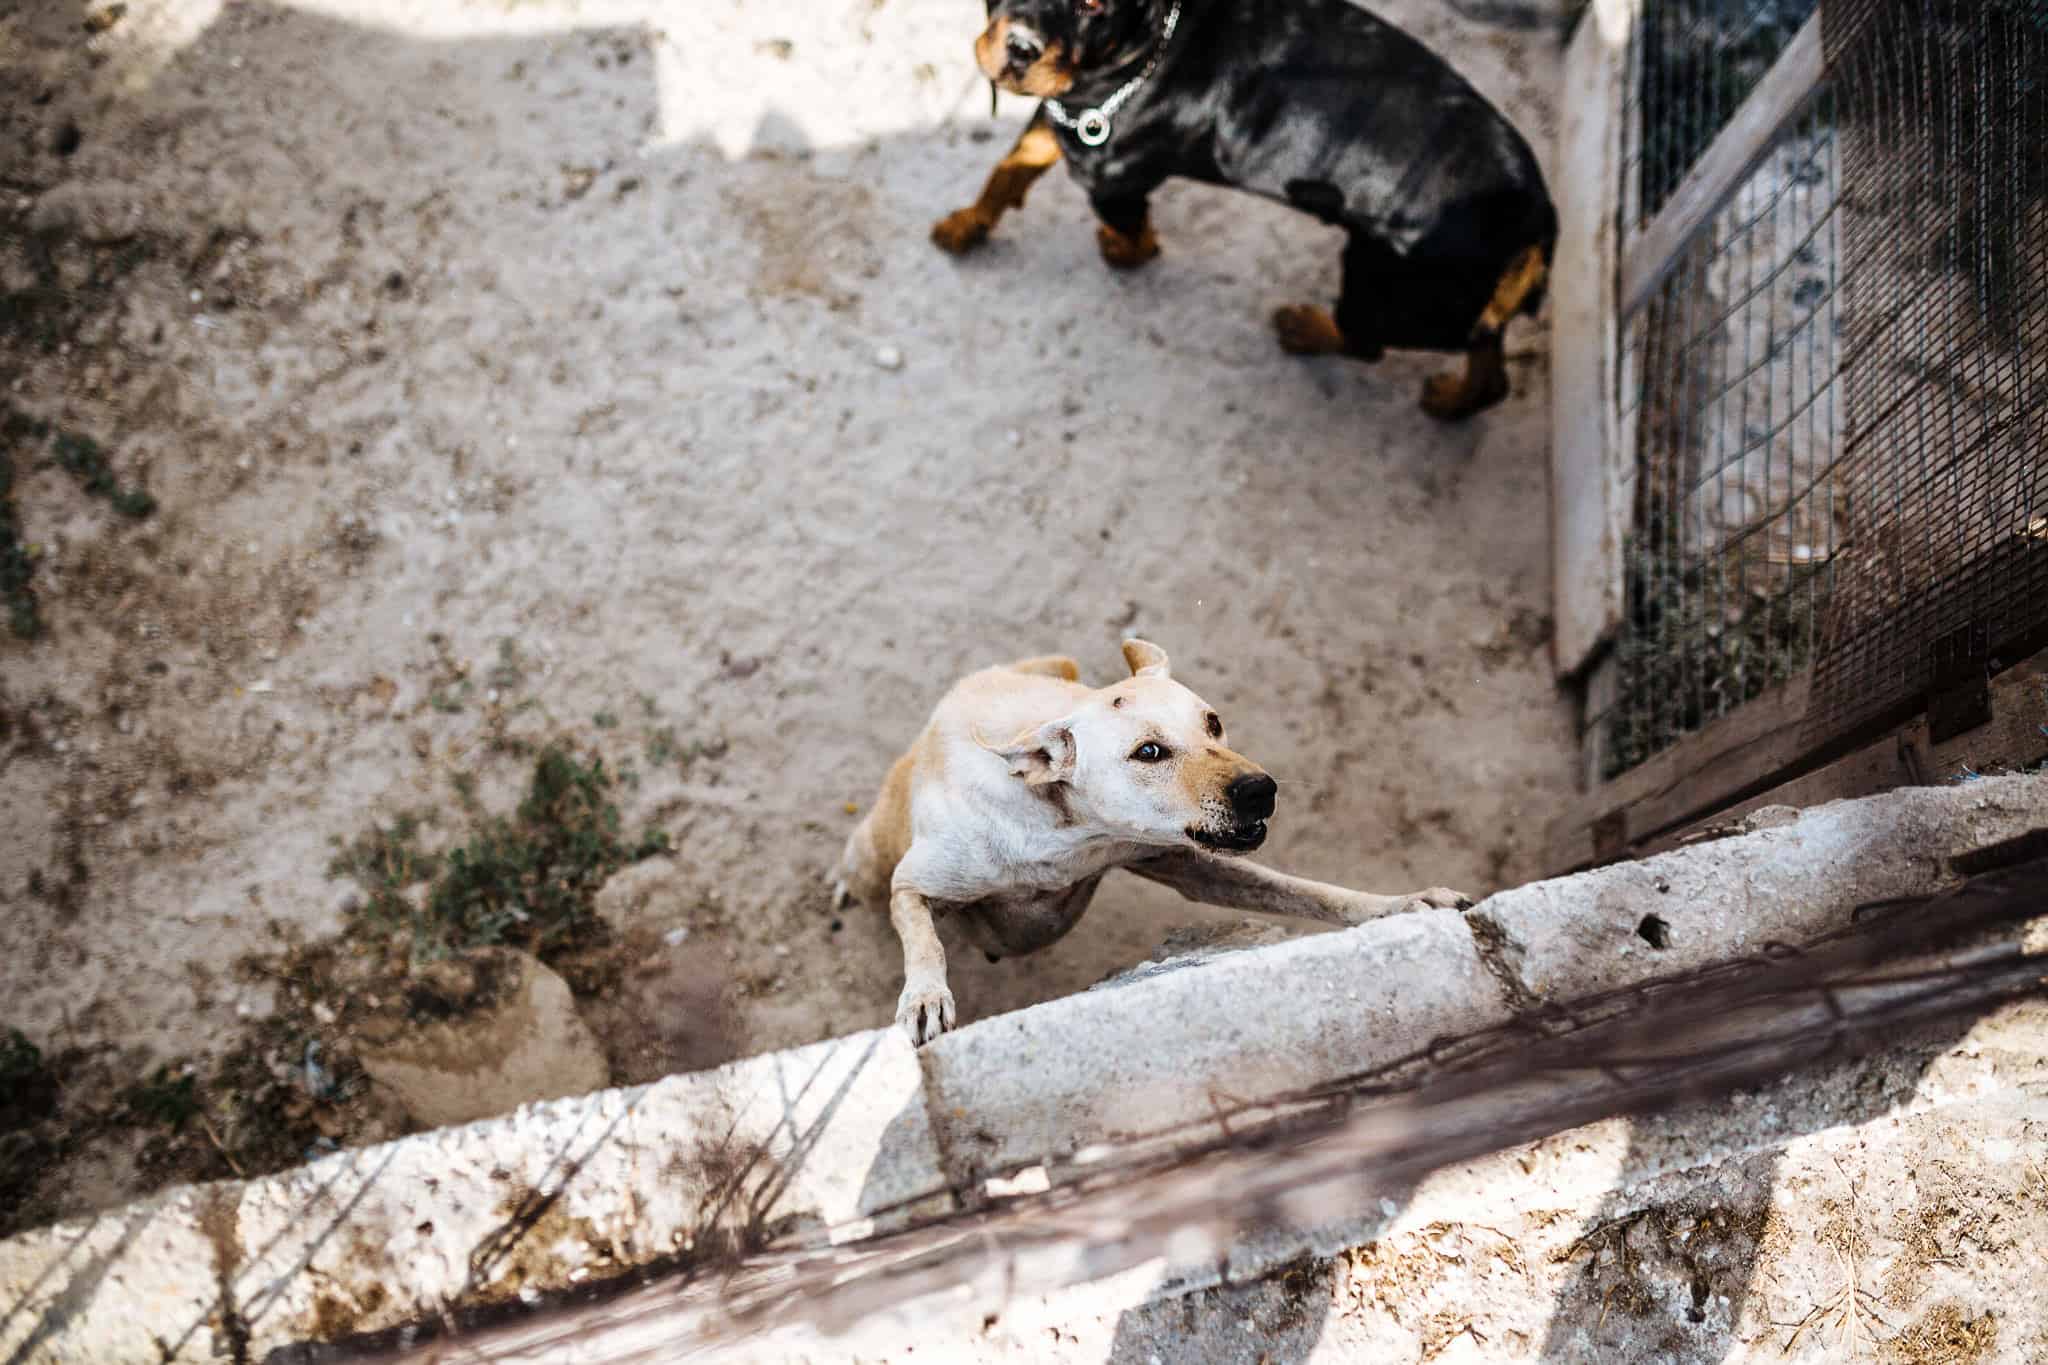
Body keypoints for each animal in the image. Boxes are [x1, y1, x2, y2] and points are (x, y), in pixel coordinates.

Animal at [831, 642, 1474, 1047]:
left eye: (1213, 723)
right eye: (1149, 752)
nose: (1260, 790)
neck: (1065, 827)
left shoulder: (1189, 863)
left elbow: (1311, 891)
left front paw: (1400, 905)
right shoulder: (911, 886)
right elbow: (925, 944)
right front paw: (924, 998)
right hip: (872, 858)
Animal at [937, 0, 1556, 421]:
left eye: (1093, 5)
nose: (1020, 49)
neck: (1146, 44)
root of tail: (1537, 215)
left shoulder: (1107, 175)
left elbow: (1132, 234)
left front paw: (1125, 249)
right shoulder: (1065, 120)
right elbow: (1009, 169)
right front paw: (967, 225)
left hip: (1383, 283)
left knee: (1367, 341)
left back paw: (1304, 329)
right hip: (1457, 299)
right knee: (1489, 365)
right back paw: (1452, 404)